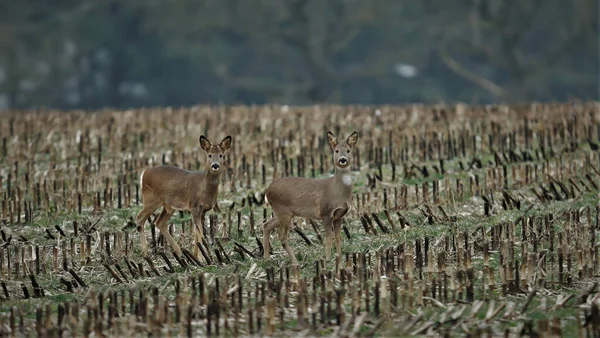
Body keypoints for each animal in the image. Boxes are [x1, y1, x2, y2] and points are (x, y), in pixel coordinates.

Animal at [262, 131, 356, 266]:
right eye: (336, 150)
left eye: (348, 150)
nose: (342, 160)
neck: (337, 191)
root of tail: (267, 190)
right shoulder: (325, 213)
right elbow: (329, 238)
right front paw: (327, 259)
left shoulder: (339, 215)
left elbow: (338, 238)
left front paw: (339, 259)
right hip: (283, 210)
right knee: (282, 236)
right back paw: (295, 262)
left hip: (284, 212)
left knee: (266, 225)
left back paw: (266, 258)